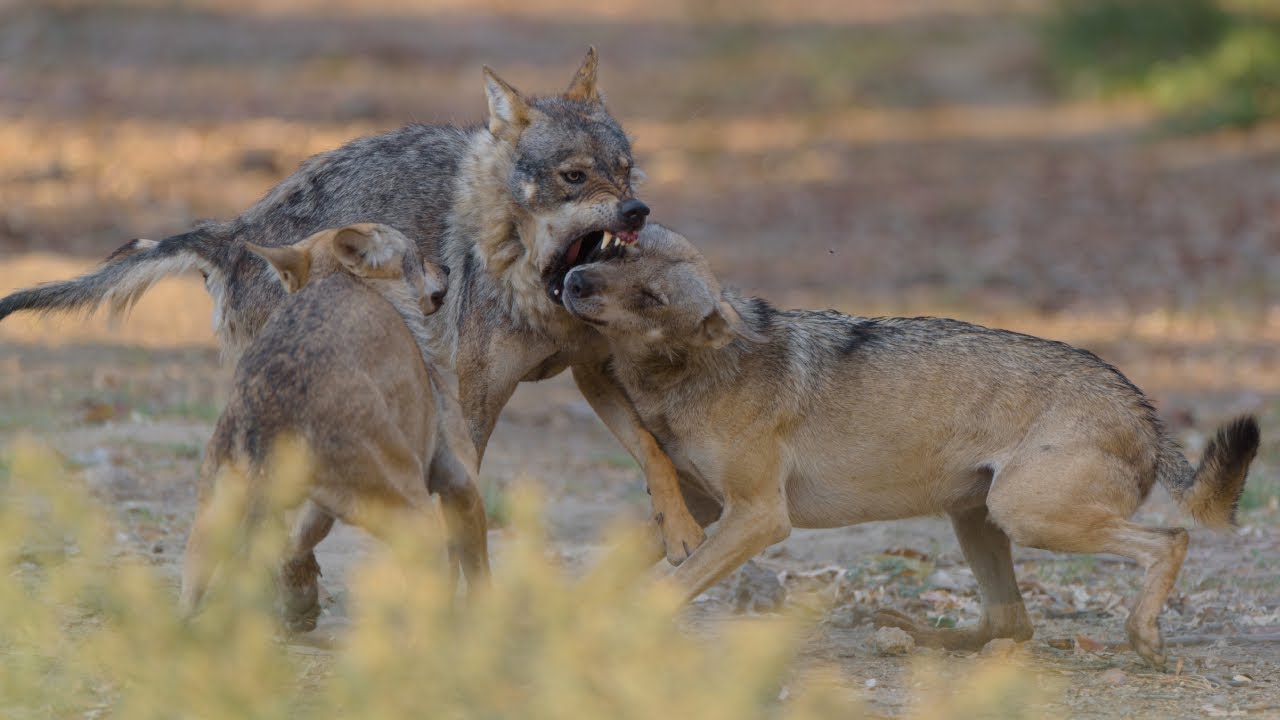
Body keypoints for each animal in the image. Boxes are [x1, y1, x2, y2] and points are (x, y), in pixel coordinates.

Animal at [0, 51, 711, 566]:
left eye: (627, 170)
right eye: (574, 177)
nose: (636, 211)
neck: (531, 284)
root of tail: (232, 233)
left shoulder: (592, 370)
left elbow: (652, 448)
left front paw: (677, 528)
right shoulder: (471, 406)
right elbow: (463, 515)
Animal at [177, 222, 481, 627]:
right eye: (417, 255)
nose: (446, 268)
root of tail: (269, 415)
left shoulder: (316, 511)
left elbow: (296, 548)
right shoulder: (464, 483)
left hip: (209, 530)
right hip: (417, 516)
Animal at [563, 224, 1259, 666]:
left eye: (651, 296)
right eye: (614, 252)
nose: (572, 280)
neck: (688, 371)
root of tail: (1142, 406)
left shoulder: (758, 518)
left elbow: (667, 588)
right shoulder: (703, 508)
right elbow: (609, 571)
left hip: (1026, 515)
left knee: (1171, 539)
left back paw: (1143, 638)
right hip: (978, 517)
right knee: (1010, 623)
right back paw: (911, 633)